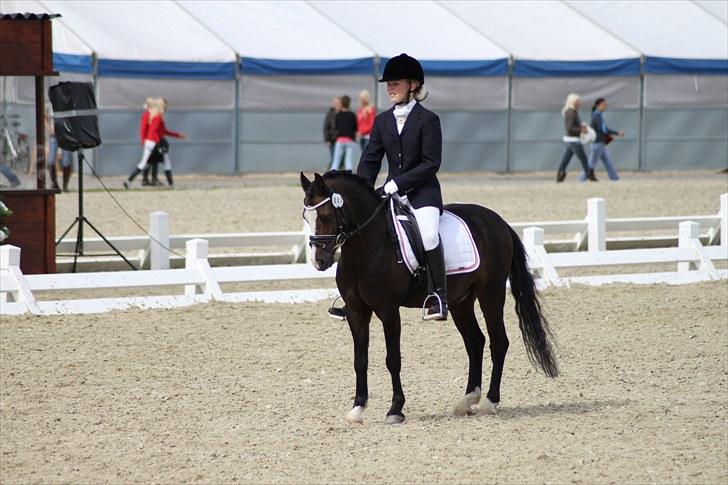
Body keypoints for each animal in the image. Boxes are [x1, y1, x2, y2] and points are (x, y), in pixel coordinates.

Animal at [300, 171, 558, 424]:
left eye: (325, 215)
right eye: (306, 216)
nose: (319, 261)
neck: (364, 249)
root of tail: (499, 222)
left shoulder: (388, 310)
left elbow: (393, 359)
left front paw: (395, 409)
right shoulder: (357, 312)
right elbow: (359, 359)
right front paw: (357, 408)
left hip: (491, 294)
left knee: (499, 342)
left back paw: (489, 401)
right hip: (461, 302)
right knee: (475, 342)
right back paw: (467, 400)